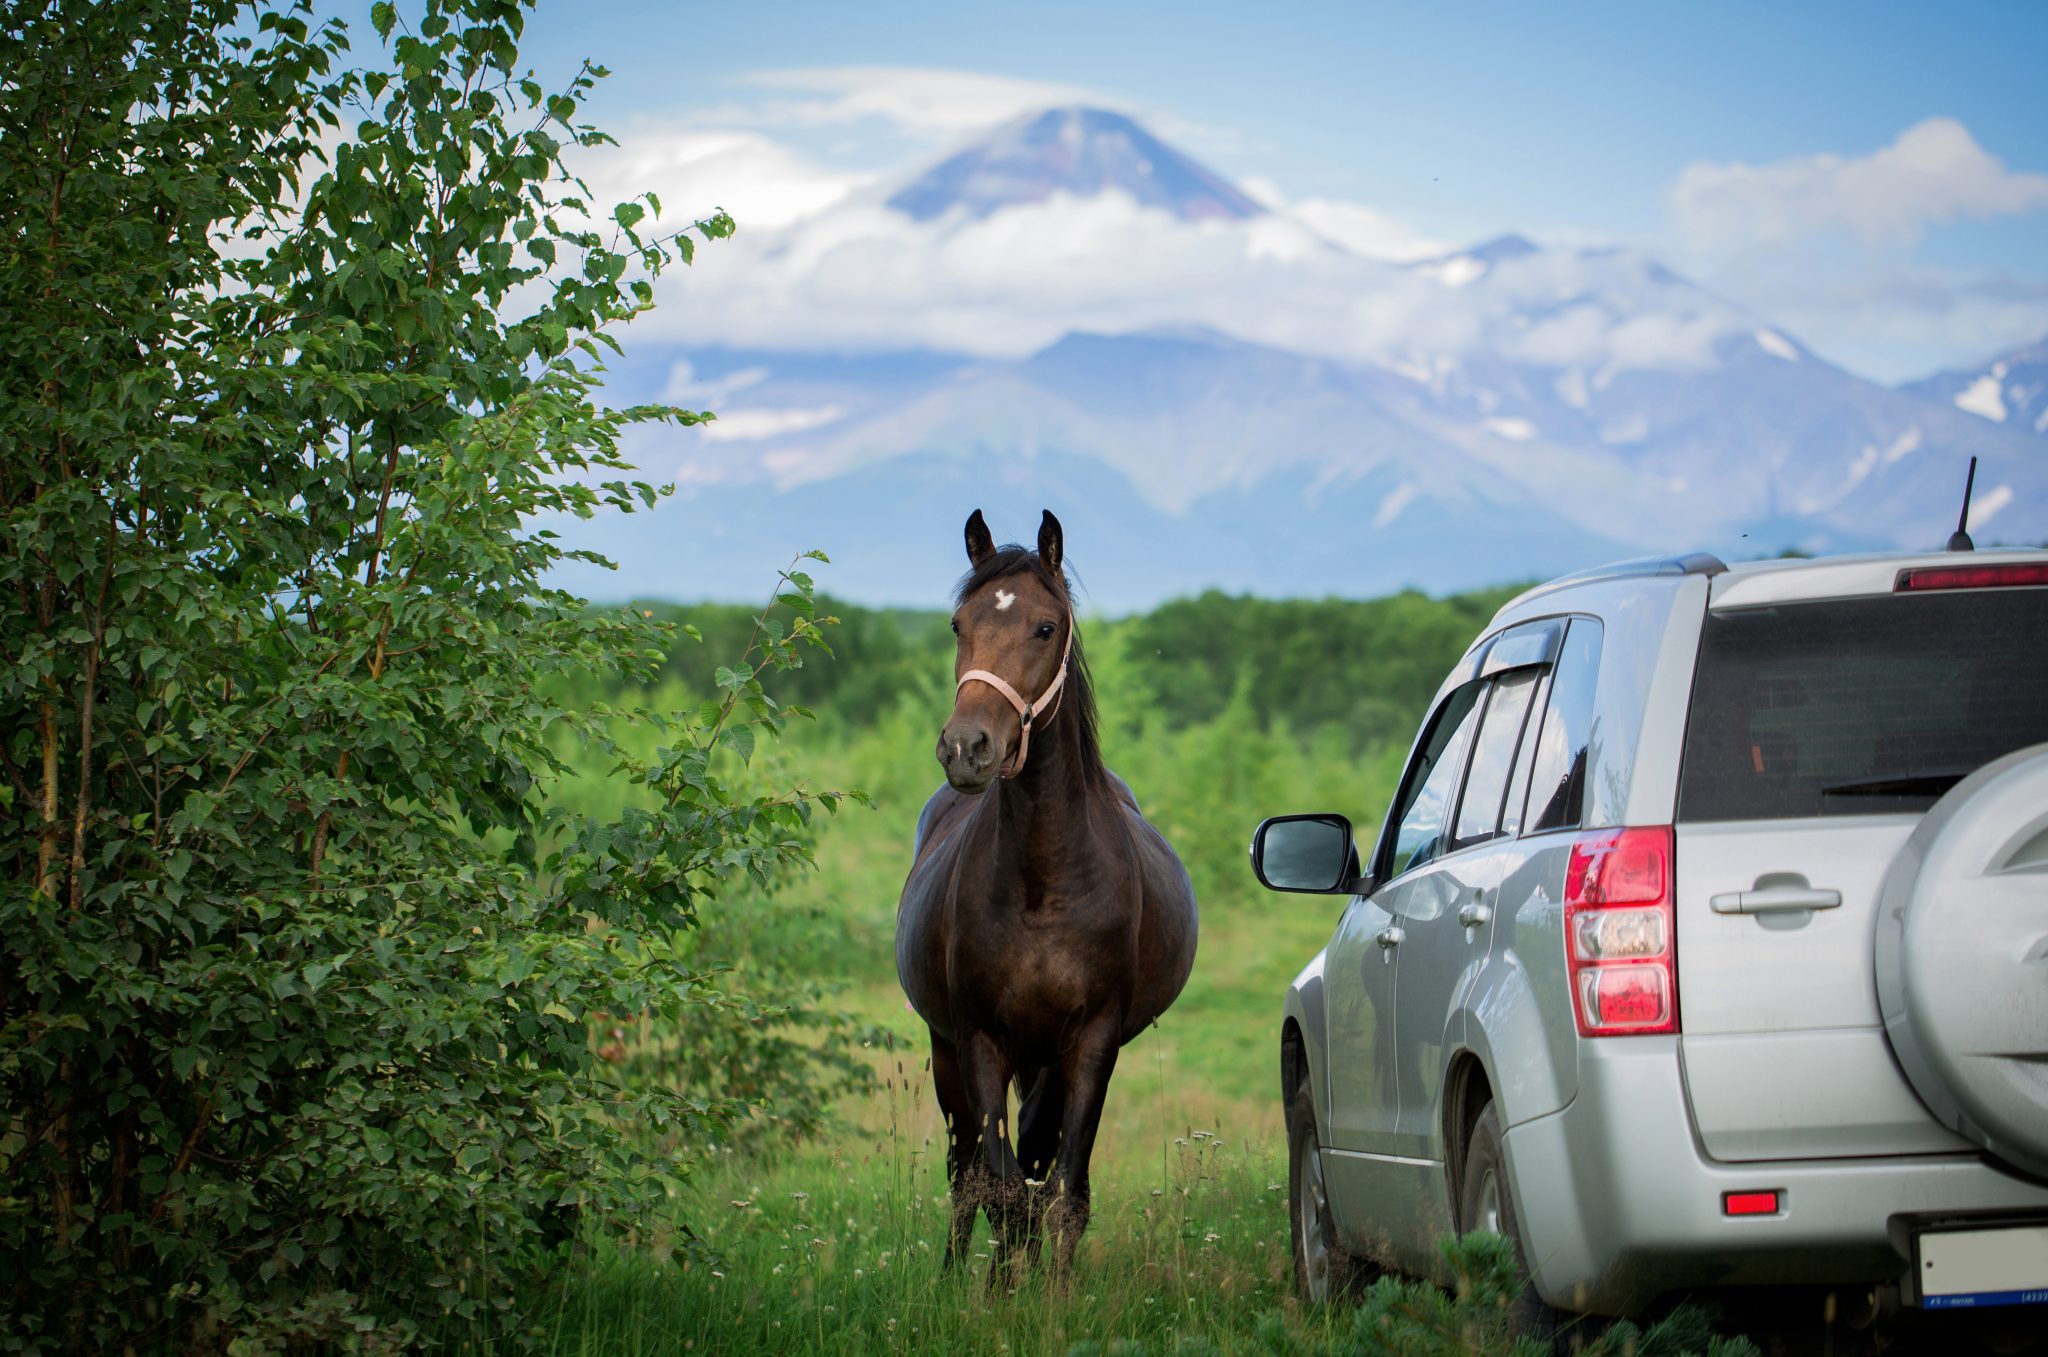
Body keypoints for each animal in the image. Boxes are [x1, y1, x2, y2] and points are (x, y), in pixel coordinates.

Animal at [897, 507, 1196, 1277]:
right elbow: (1000, 1188)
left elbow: (1064, 1192)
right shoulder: (978, 1040)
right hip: (950, 1050)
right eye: (958, 624)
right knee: (967, 1171)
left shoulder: (1090, 1045)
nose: (967, 747)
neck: (1044, 882)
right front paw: (999, 1293)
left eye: (1045, 626)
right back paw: (955, 1274)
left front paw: (1051, 1293)